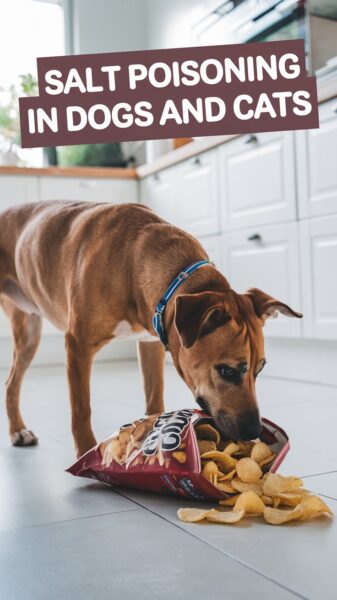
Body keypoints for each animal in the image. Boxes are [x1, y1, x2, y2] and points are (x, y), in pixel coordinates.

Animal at [0, 199, 300, 458]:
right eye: (227, 371)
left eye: (260, 369)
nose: (254, 431)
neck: (132, 261)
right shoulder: (78, 344)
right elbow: (81, 409)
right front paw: (86, 452)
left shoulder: (151, 343)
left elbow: (155, 398)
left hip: (29, 333)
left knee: (11, 382)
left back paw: (17, 430)